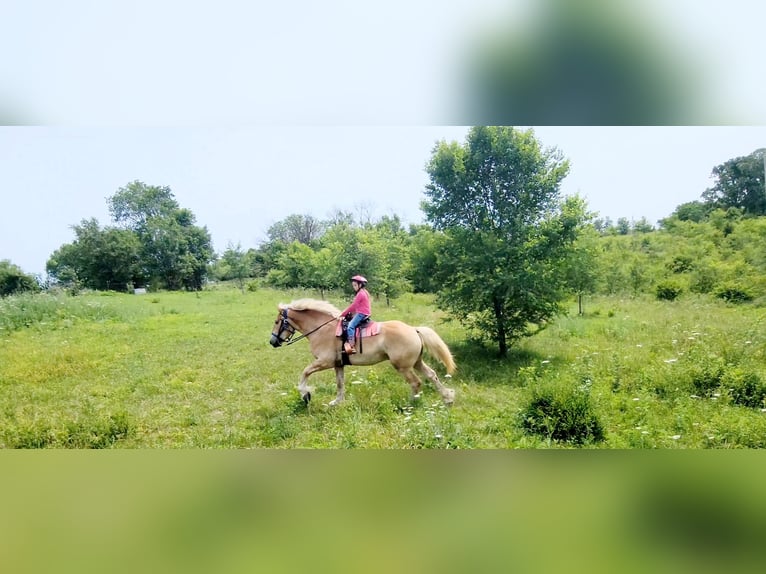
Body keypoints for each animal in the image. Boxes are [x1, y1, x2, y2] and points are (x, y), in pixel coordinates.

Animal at [270, 300, 456, 408]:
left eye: (277, 321)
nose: (272, 342)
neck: (323, 329)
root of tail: (413, 329)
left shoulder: (324, 362)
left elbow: (305, 373)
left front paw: (305, 394)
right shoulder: (338, 364)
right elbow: (340, 384)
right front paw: (336, 402)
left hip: (403, 366)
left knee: (416, 382)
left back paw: (411, 404)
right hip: (416, 362)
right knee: (432, 375)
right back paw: (447, 398)